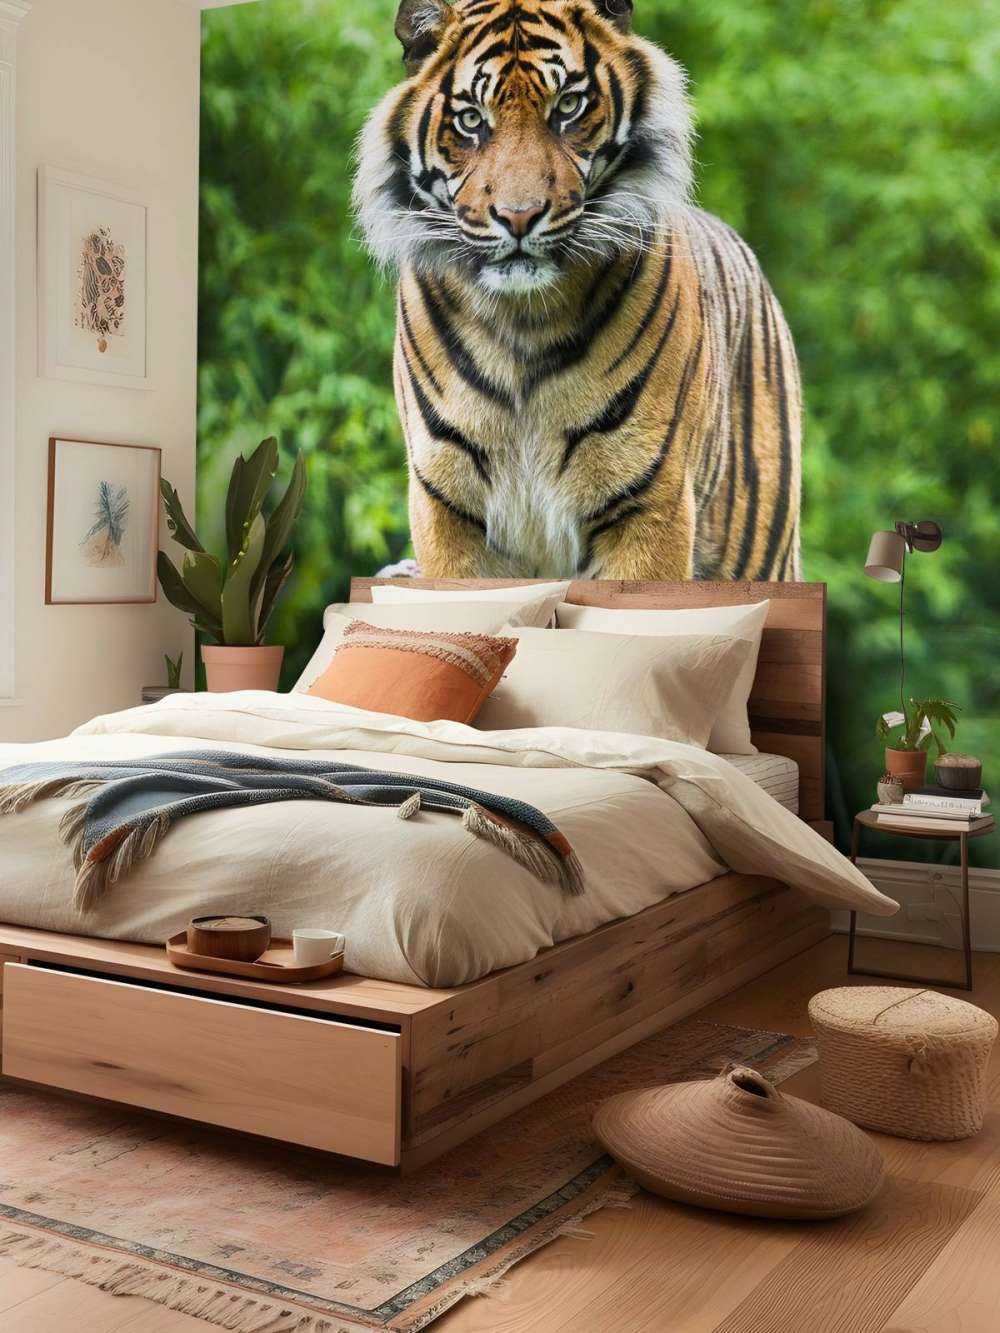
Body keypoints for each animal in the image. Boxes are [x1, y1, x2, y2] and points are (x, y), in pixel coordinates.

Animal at [354, 0, 802, 581]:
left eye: (567, 106)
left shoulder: (648, 506)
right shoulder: (446, 508)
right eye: (471, 120)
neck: (521, 324)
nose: (518, 217)